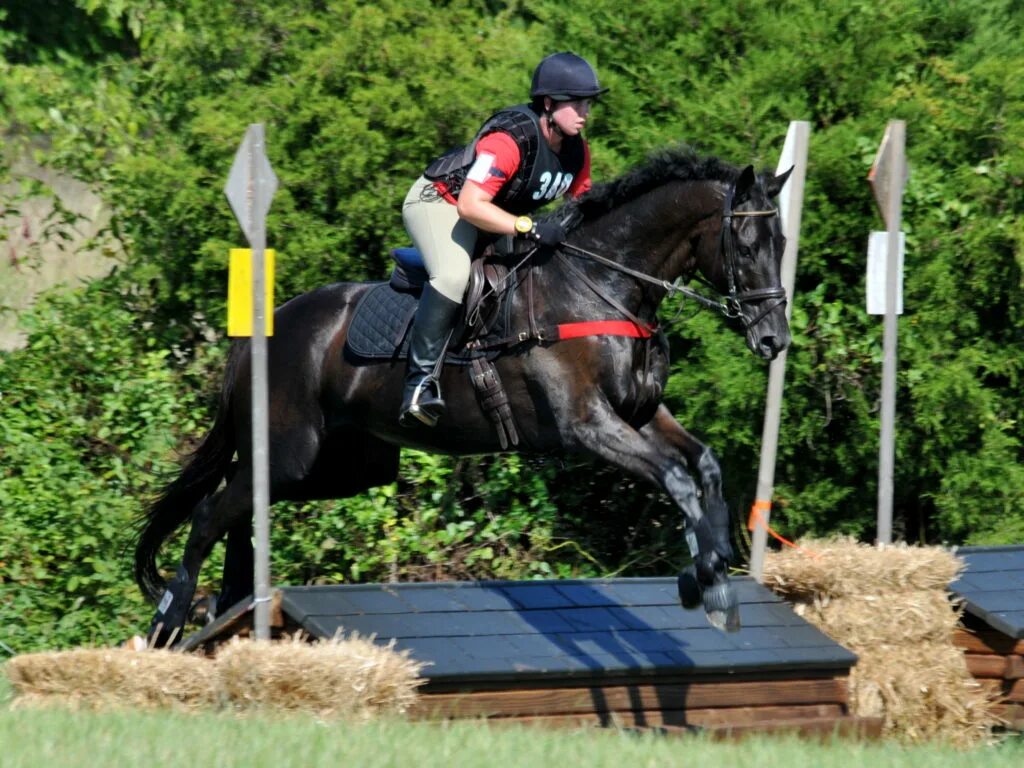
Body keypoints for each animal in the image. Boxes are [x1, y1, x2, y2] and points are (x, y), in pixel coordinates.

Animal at [134, 147, 790, 647]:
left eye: (782, 241)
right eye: (745, 243)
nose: (773, 339)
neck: (603, 284)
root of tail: (264, 329)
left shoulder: (640, 412)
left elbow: (703, 464)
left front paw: (714, 573)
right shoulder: (587, 426)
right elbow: (675, 478)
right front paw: (707, 580)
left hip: (342, 468)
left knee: (240, 509)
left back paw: (226, 609)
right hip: (291, 451)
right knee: (210, 513)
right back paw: (170, 620)